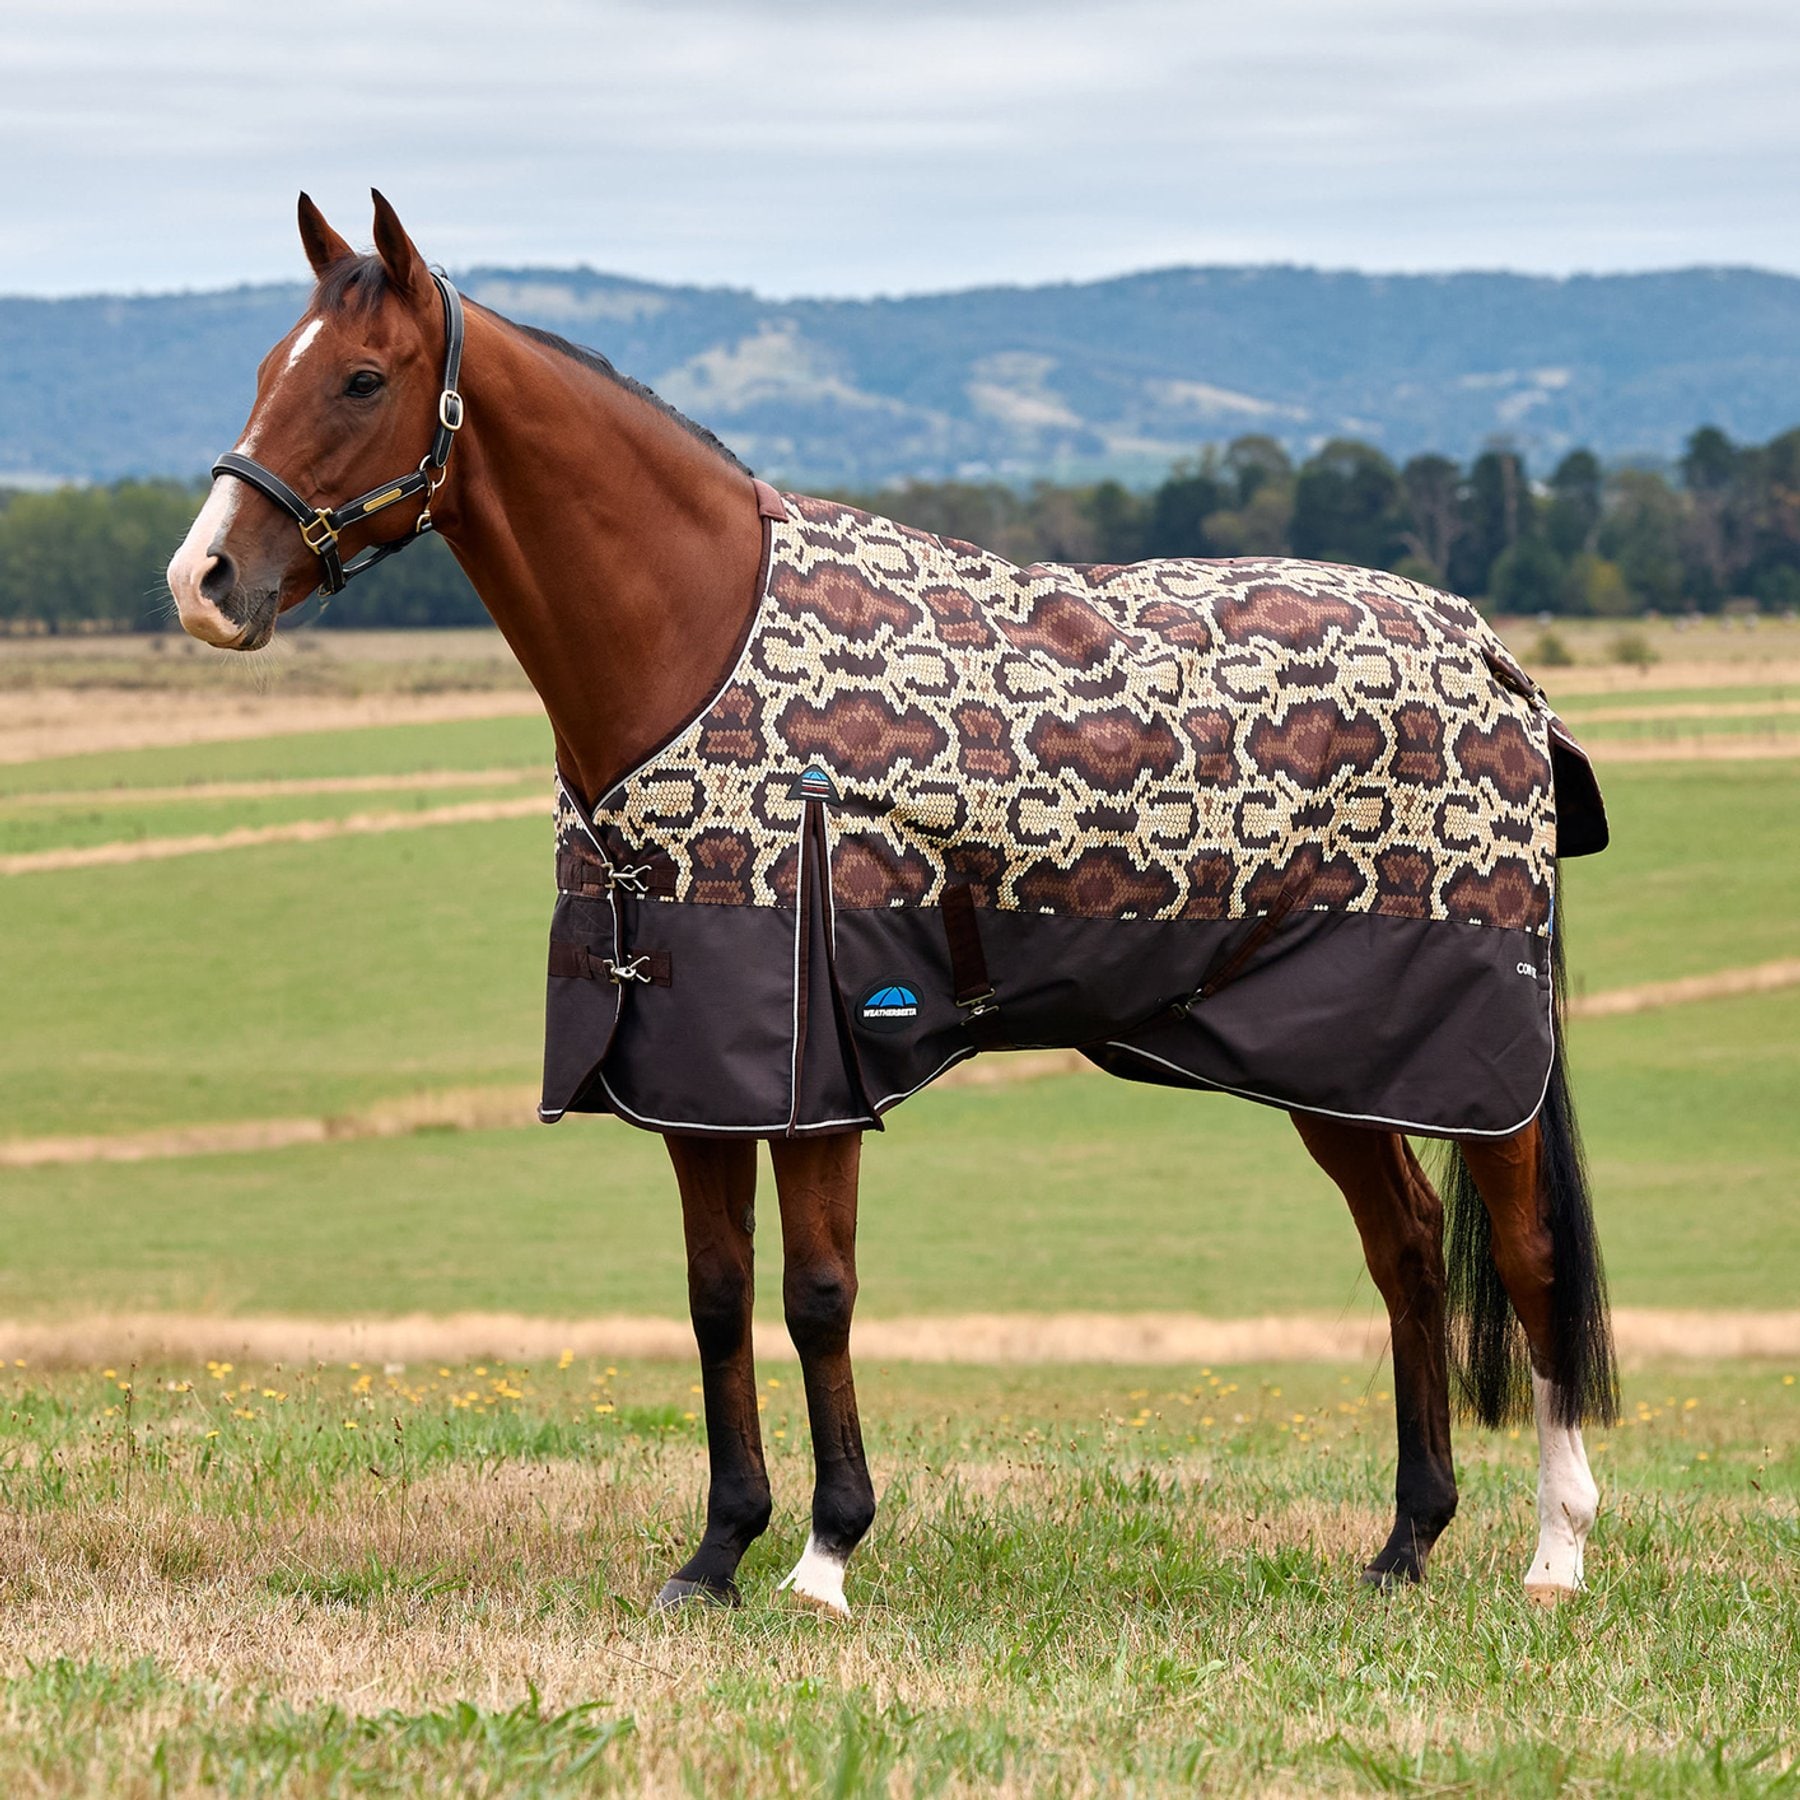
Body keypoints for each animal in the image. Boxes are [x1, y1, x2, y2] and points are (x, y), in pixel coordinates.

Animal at [166, 192, 1618, 1617]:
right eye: (267, 368)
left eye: (362, 378)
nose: (205, 582)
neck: (694, 642)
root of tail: (1493, 656)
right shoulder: (696, 1070)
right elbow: (715, 1296)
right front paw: (716, 1553)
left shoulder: (817, 1067)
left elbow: (817, 1293)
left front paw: (825, 1553)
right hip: (1336, 1053)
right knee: (1409, 1251)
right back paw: (1406, 1542)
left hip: (1470, 1064)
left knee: (1530, 1263)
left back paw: (1556, 1553)